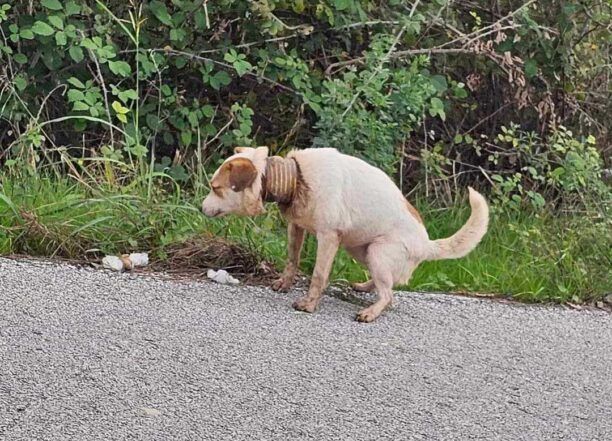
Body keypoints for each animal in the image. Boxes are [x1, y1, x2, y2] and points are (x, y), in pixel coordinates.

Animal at [201, 146, 488, 322]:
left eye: (215, 188)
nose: (201, 208)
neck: (296, 179)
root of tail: (427, 244)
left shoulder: (328, 237)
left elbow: (318, 275)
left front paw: (308, 304)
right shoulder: (297, 228)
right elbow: (292, 260)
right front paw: (284, 283)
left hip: (378, 252)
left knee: (389, 295)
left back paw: (370, 312)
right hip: (360, 249)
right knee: (386, 284)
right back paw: (364, 286)